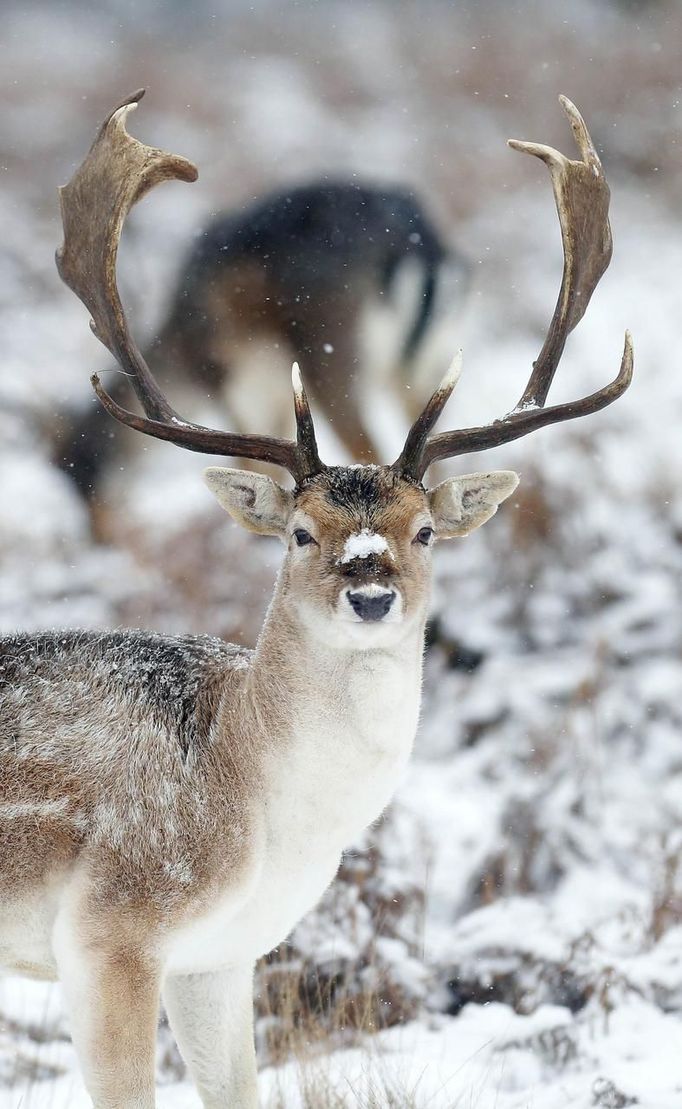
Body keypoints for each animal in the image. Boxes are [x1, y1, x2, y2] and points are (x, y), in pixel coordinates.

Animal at [57, 178, 470, 503]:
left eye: (78, 468)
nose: (97, 538)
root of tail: (419, 246)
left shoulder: (239, 388)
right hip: (428, 364)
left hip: (332, 353)